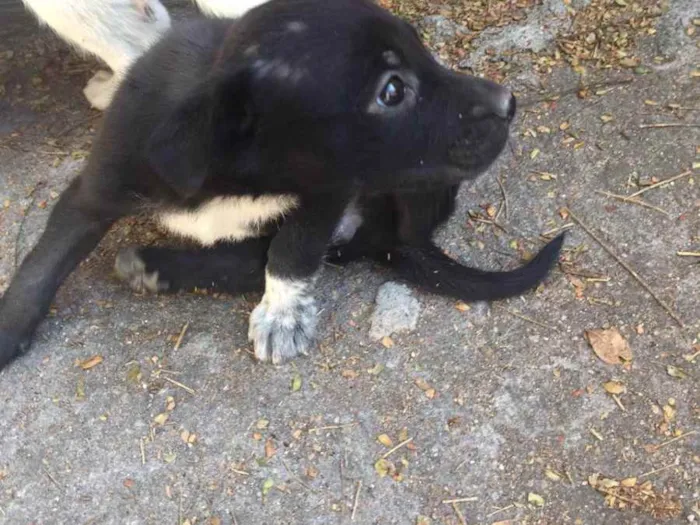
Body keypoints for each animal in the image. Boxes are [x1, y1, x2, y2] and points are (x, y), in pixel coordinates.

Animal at [0, 0, 564, 368]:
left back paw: (159, 266)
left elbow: (292, 250)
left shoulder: (328, 191)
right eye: (391, 90)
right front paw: (9, 329)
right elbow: (42, 264)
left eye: (423, 53)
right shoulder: (96, 189)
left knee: (326, 249)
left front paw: (282, 316)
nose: (508, 103)